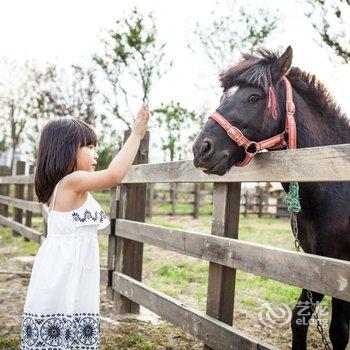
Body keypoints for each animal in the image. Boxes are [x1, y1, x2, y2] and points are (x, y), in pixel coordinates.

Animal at [191, 45, 350, 348]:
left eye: (254, 97)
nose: (201, 149)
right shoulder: (319, 266)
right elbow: (298, 319)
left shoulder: (340, 272)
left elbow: (339, 331)